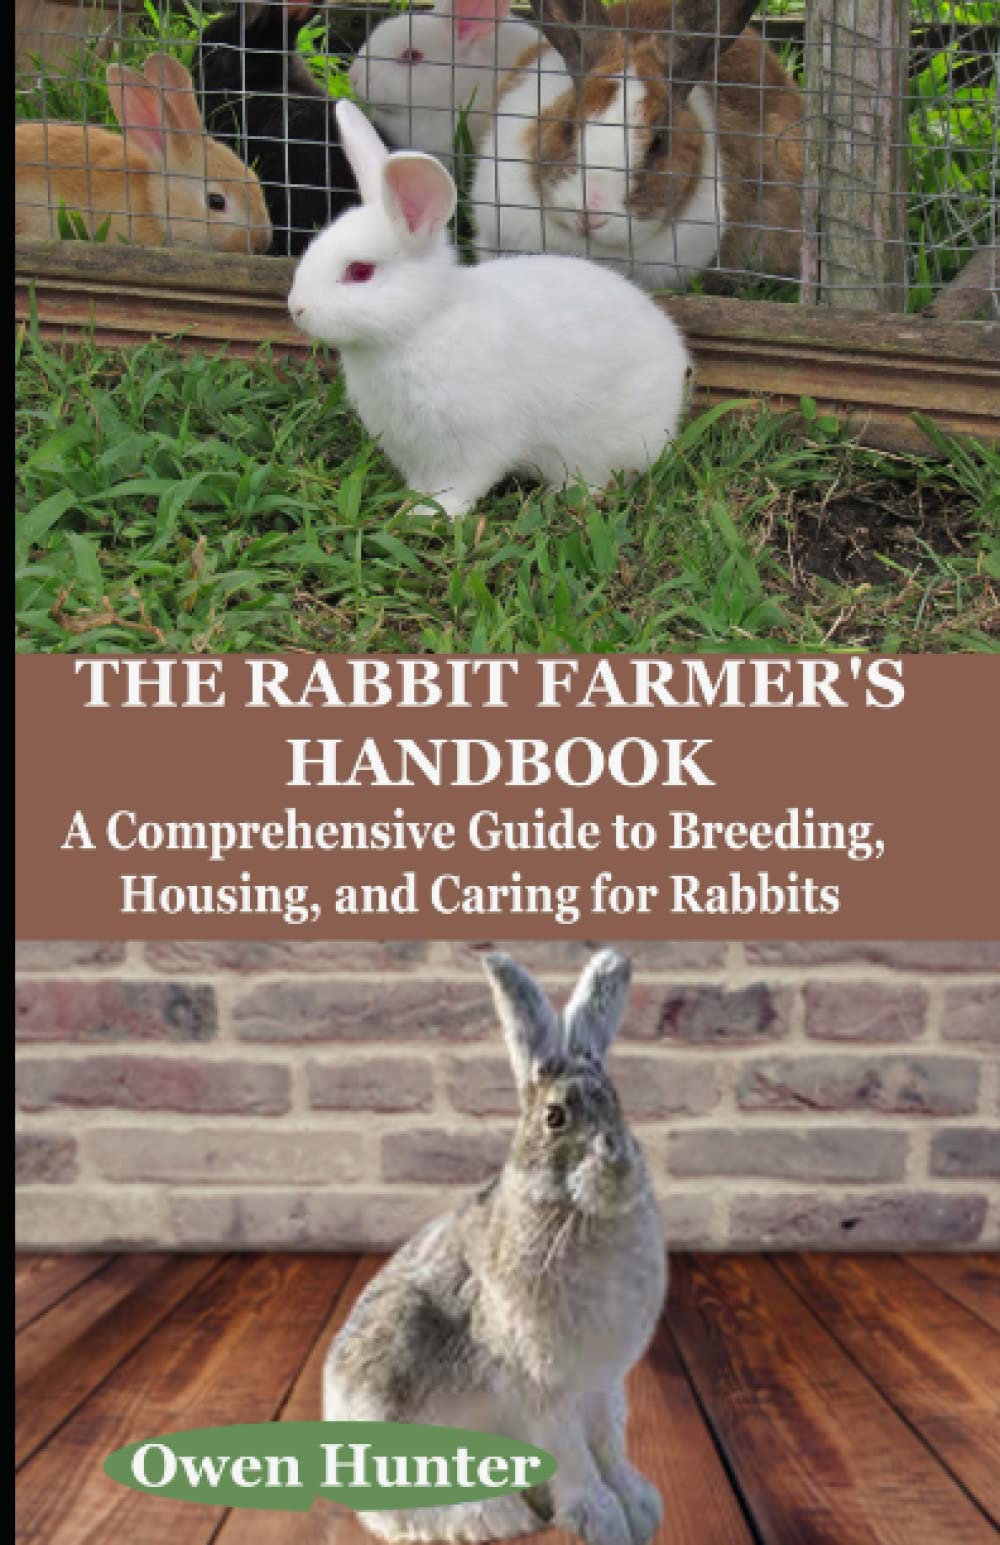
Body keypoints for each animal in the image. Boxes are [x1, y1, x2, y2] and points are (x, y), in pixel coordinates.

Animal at [288, 99, 691, 521]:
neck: (422, 326)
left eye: (360, 271)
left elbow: (461, 485)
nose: (296, 307)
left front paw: (430, 514)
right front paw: (412, 502)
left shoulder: (472, 445)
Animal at [322, 948, 666, 1545]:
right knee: (396, 1510)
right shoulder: (544, 1392)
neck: (577, 1217)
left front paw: (639, 1507)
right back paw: (490, 1516)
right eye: (555, 1117)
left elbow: (609, 1448)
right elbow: (575, 1459)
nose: (621, 1168)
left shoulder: (603, 1387)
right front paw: (599, 1519)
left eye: (618, 1103)